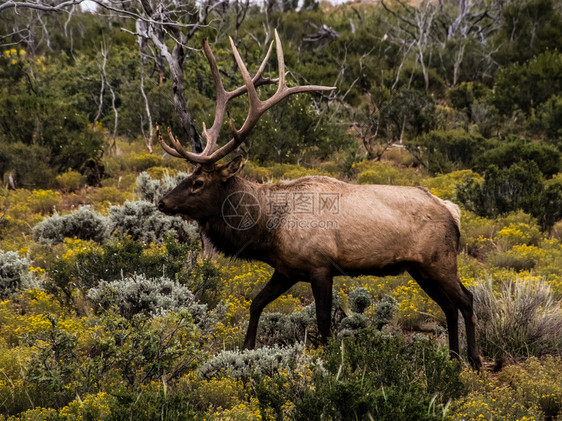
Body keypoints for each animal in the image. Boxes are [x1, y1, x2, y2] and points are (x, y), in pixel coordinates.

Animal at [156, 31, 482, 370]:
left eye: (198, 182)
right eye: (187, 176)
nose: (162, 202)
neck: (268, 229)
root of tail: (454, 211)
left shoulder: (321, 266)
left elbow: (324, 321)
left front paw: (326, 362)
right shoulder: (286, 269)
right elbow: (256, 303)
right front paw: (246, 349)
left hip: (440, 261)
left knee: (466, 299)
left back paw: (473, 360)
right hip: (420, 268)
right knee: (448, 306)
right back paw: (452, 358)